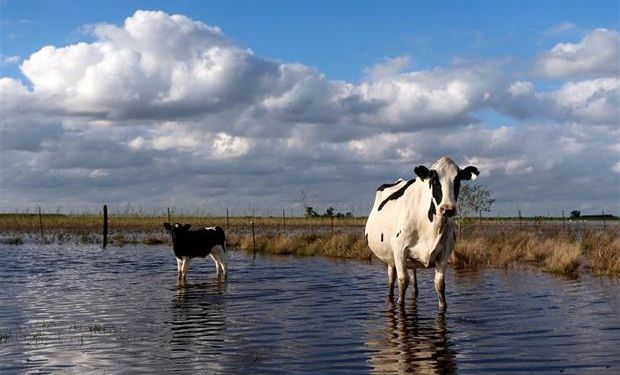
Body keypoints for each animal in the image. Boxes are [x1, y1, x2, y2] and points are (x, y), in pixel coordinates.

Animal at [364, 156, 480, 312]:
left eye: (457, 180)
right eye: (434, 180)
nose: (447, 209)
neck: (432, 228)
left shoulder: (445, 252)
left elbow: (440, 284)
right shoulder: (399, 248)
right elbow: (402, 282)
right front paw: (400, 305)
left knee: (414, 280)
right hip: (390, 257)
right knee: (391, 280)